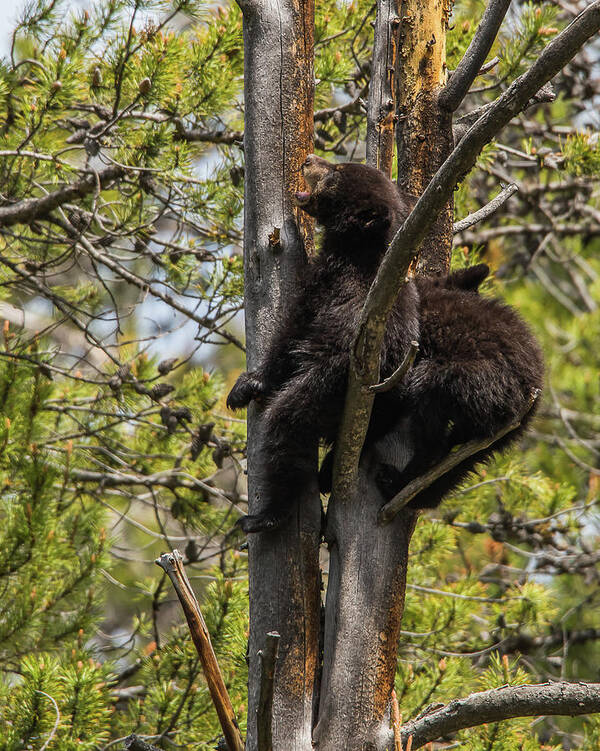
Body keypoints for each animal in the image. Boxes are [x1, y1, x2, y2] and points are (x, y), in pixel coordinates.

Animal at [226, 156, 544, 536]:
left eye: (337, 172)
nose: (309, 160)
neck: (364, 250)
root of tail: (529, 396)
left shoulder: (323, 284)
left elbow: (291, 333)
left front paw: (248, 385)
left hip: (427, 382)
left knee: (287, 427)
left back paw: (269, 514)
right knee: (456, 459)